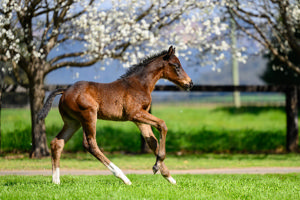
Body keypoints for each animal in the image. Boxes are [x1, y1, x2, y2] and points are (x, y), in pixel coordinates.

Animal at [38, 46, 192, 185]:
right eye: (176, 66)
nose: (189, 83)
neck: (140, 85)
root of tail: (65, 90)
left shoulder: (140, 119)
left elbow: (152, 141)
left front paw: (167, 176)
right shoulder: (134, 114)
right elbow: (162, 125)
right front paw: (157, 167)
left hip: (73, 122)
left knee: (57, 143)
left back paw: (56, 181)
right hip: (88, 115)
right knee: (90, 144)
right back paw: (123, 177)